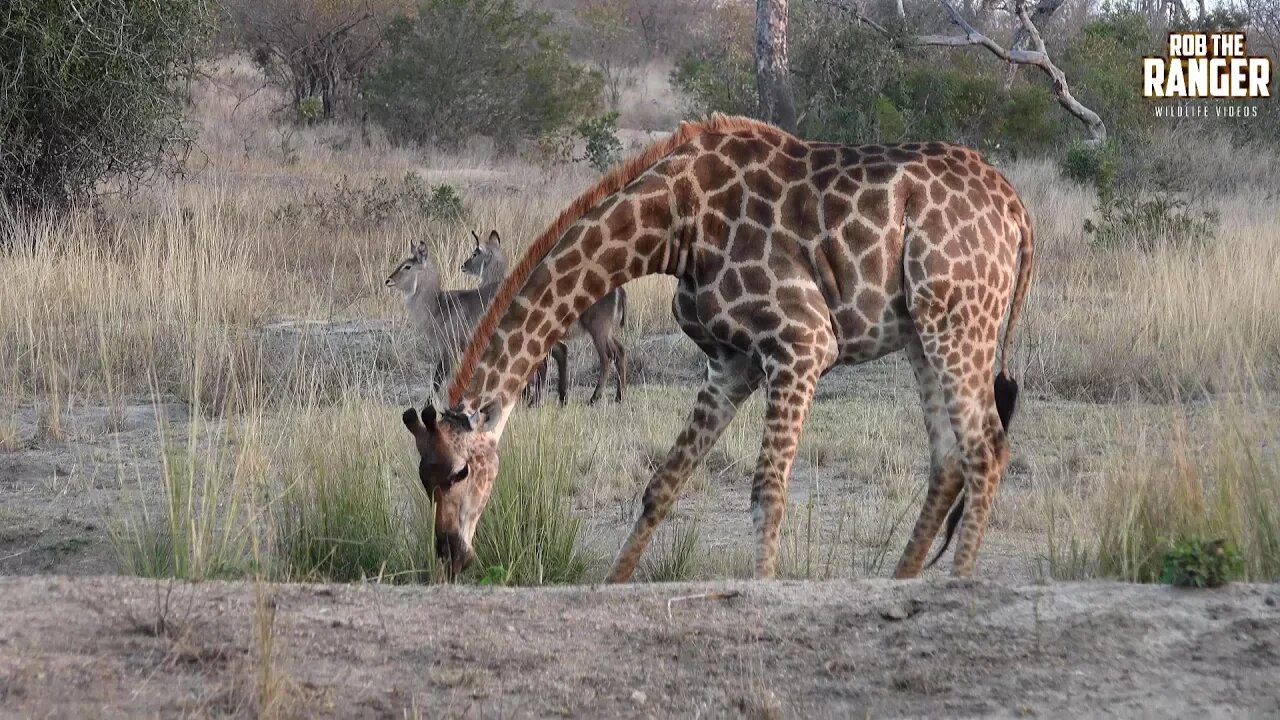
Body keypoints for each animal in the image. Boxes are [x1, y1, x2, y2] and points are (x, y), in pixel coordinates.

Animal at [399, 114, 1029, 579]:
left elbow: (767, 491)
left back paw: (954, 587)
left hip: (959, 321)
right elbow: (661, 486)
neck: (675, 223)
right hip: (926, 331)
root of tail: (1018, 212)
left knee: (984, 450)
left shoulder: (801, 342)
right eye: (424, 478)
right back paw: (900, 583)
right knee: (948, 459)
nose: (451, 556)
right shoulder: (732, 362)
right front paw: (611, 585)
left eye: (459, 472)